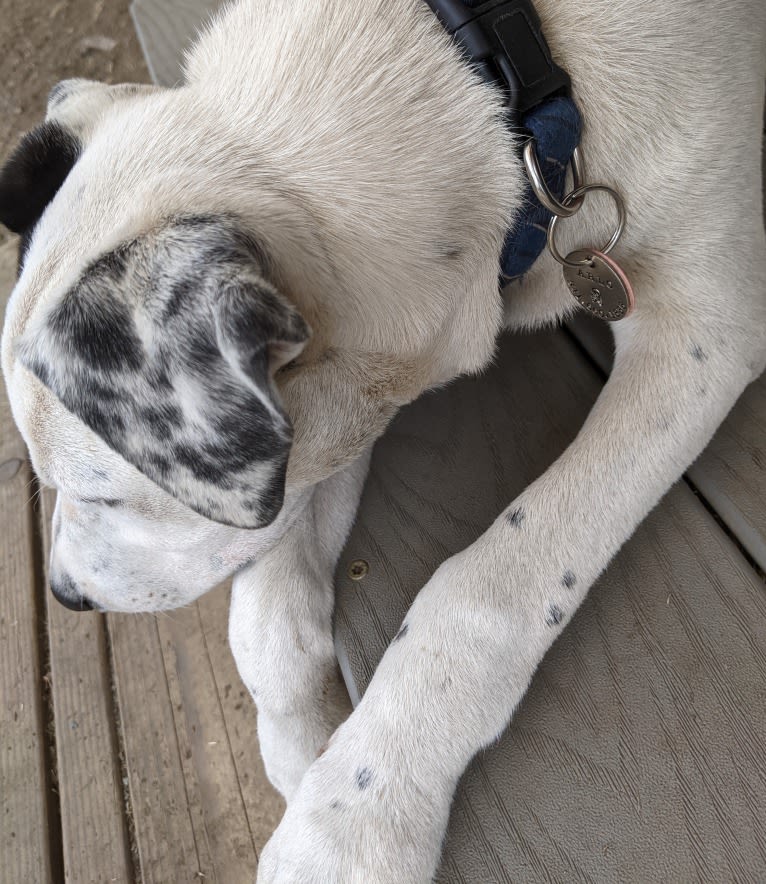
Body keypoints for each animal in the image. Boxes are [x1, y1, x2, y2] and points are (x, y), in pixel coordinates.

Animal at [1, 0, 766, 880]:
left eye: (101, 493)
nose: (64, 592)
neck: (488, 73)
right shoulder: (336, 419)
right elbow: (262, 618)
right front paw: (300, 753)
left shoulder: (701, 335)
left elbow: (486, 593)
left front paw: (353, 815)